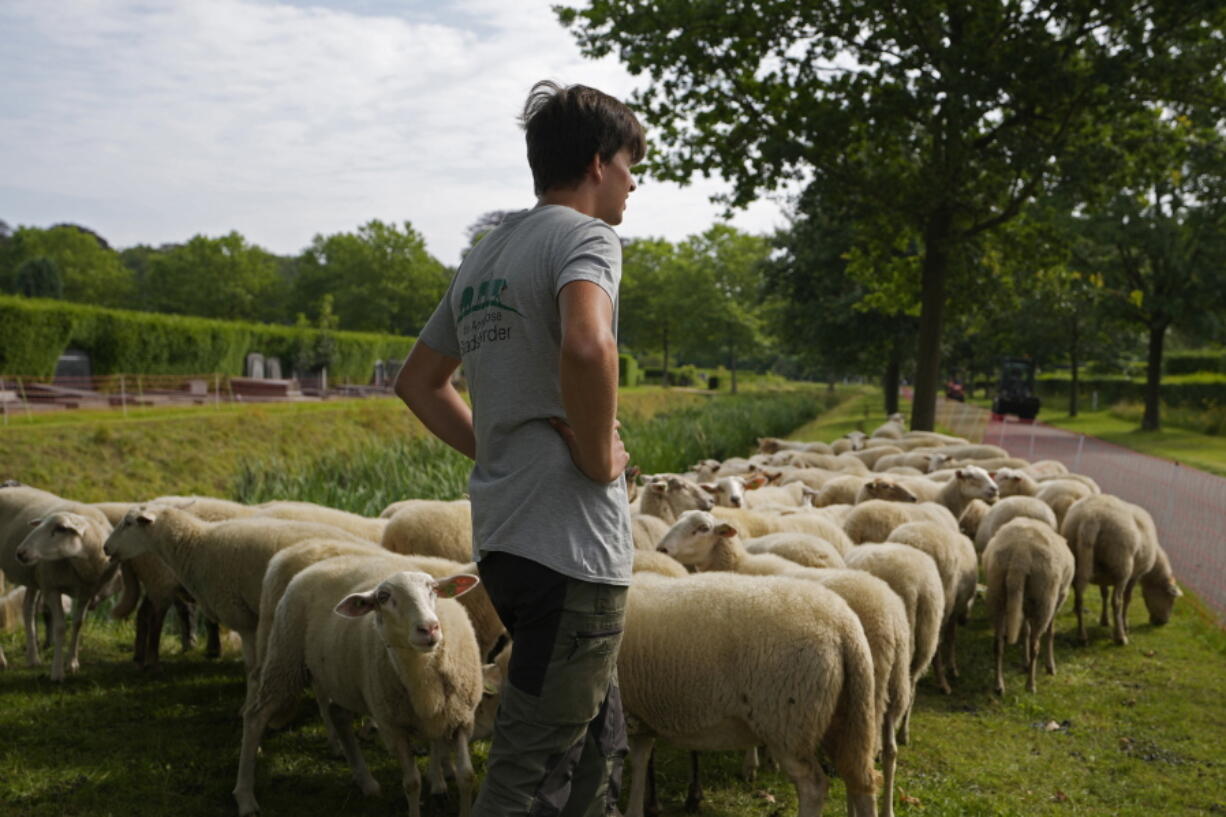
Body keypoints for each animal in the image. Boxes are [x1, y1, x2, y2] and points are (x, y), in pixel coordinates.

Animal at [231, 559, 480, 814]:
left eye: (433, 589)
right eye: (383, 597)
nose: (429, 628)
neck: (423, 678)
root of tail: (317, 565)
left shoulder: (461, 719)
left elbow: (466, 777)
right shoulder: (394, 728)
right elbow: (412, 783)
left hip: (342, 680)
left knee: (337, 714)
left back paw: (366, 782)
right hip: (285, 657)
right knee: (256, 717)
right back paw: (245, 797)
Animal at [622, 569, 882, 814]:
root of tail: (844, 627)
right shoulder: (640, 715)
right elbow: (640, 762)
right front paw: (636, 808)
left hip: (787, 721)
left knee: (813, 786)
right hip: (844, 714)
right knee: (861, 782)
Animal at [887, 522, 980, 686]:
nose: (965, 621)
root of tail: (913, 542)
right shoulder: (954, 608)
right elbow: (951, 636)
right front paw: (952, 668)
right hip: (939, 606)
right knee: (935, 645)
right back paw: (942, 682)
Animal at [975, 517, 1073, 691]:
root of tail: (1020, 554)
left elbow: (1025, 630)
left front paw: (1025, 662)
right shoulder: (1057, 599)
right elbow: (1050, 632)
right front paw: (1050, 666)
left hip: (997, 593)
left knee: (998, 644)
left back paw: (999, 685)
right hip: (1044, 600)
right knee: (1036, 644)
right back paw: (1030, 684)